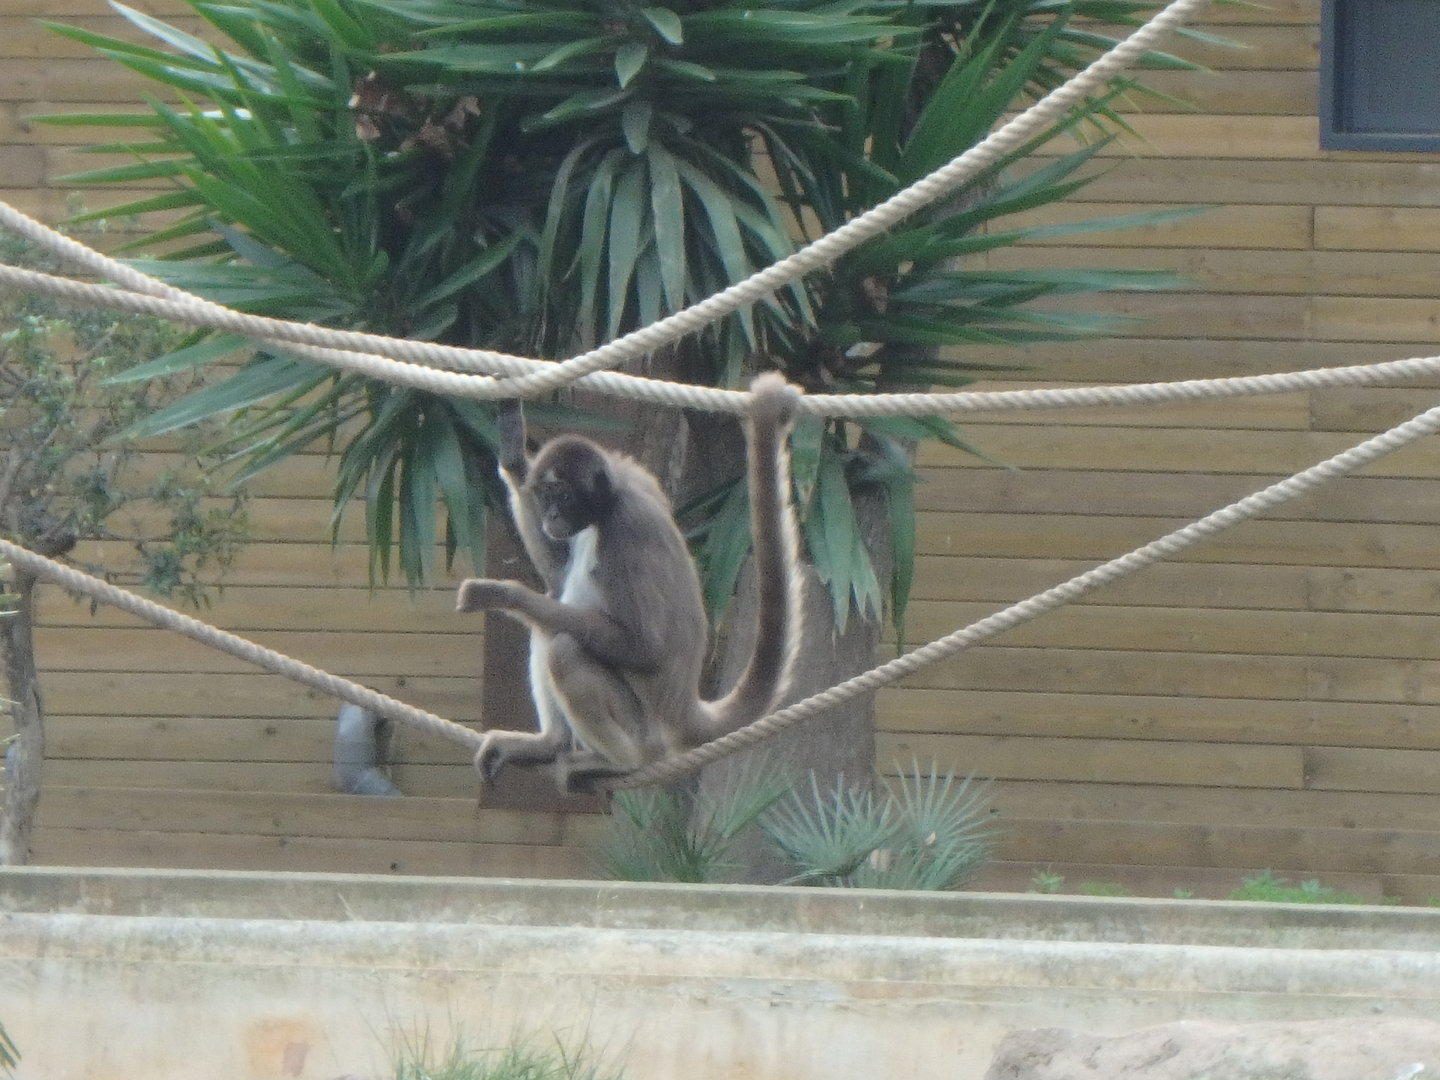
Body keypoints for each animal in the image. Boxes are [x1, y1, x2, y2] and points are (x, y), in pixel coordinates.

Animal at [457, 372, 803, 793]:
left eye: (564, 496)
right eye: (544, 495)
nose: (552, 516)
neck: (612, 499)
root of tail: (682, 707)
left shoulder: (628, 528)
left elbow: (646, 648)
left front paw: (507, 594)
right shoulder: (639, 476)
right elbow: (557, 580)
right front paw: (512, 448)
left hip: (643, 726)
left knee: (565, 649)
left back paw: (623, 762)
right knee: (550, 621)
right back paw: (550, 744)